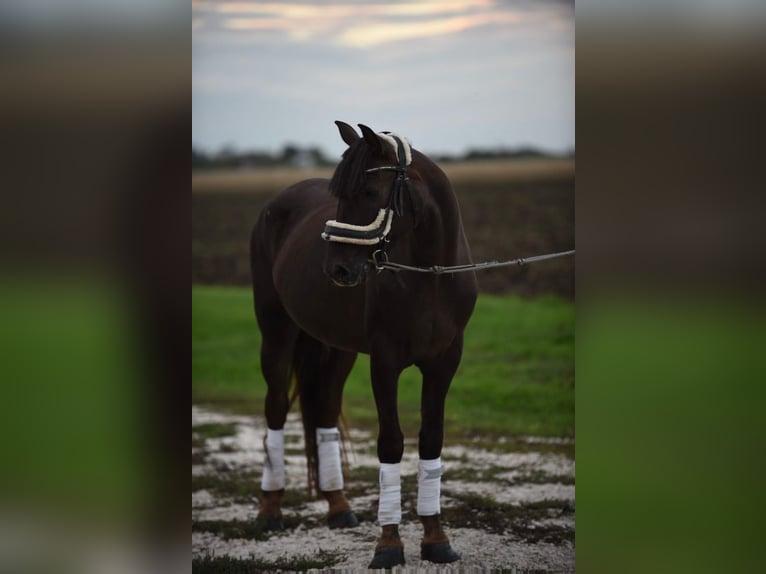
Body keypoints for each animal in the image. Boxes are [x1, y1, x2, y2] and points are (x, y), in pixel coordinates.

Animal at [252, 120, 476, 568]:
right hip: (276, 331)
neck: (431, 277)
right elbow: (390, 442)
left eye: (370, 192)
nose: (337, 269)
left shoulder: (444, 363)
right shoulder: (385, 362)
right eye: (339, 195)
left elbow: (431, 438)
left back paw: (339, 506)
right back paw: (270, 510)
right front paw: (388, 545)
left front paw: (436, 538)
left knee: (324, 408)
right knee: (276, 409)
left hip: (339, 348)